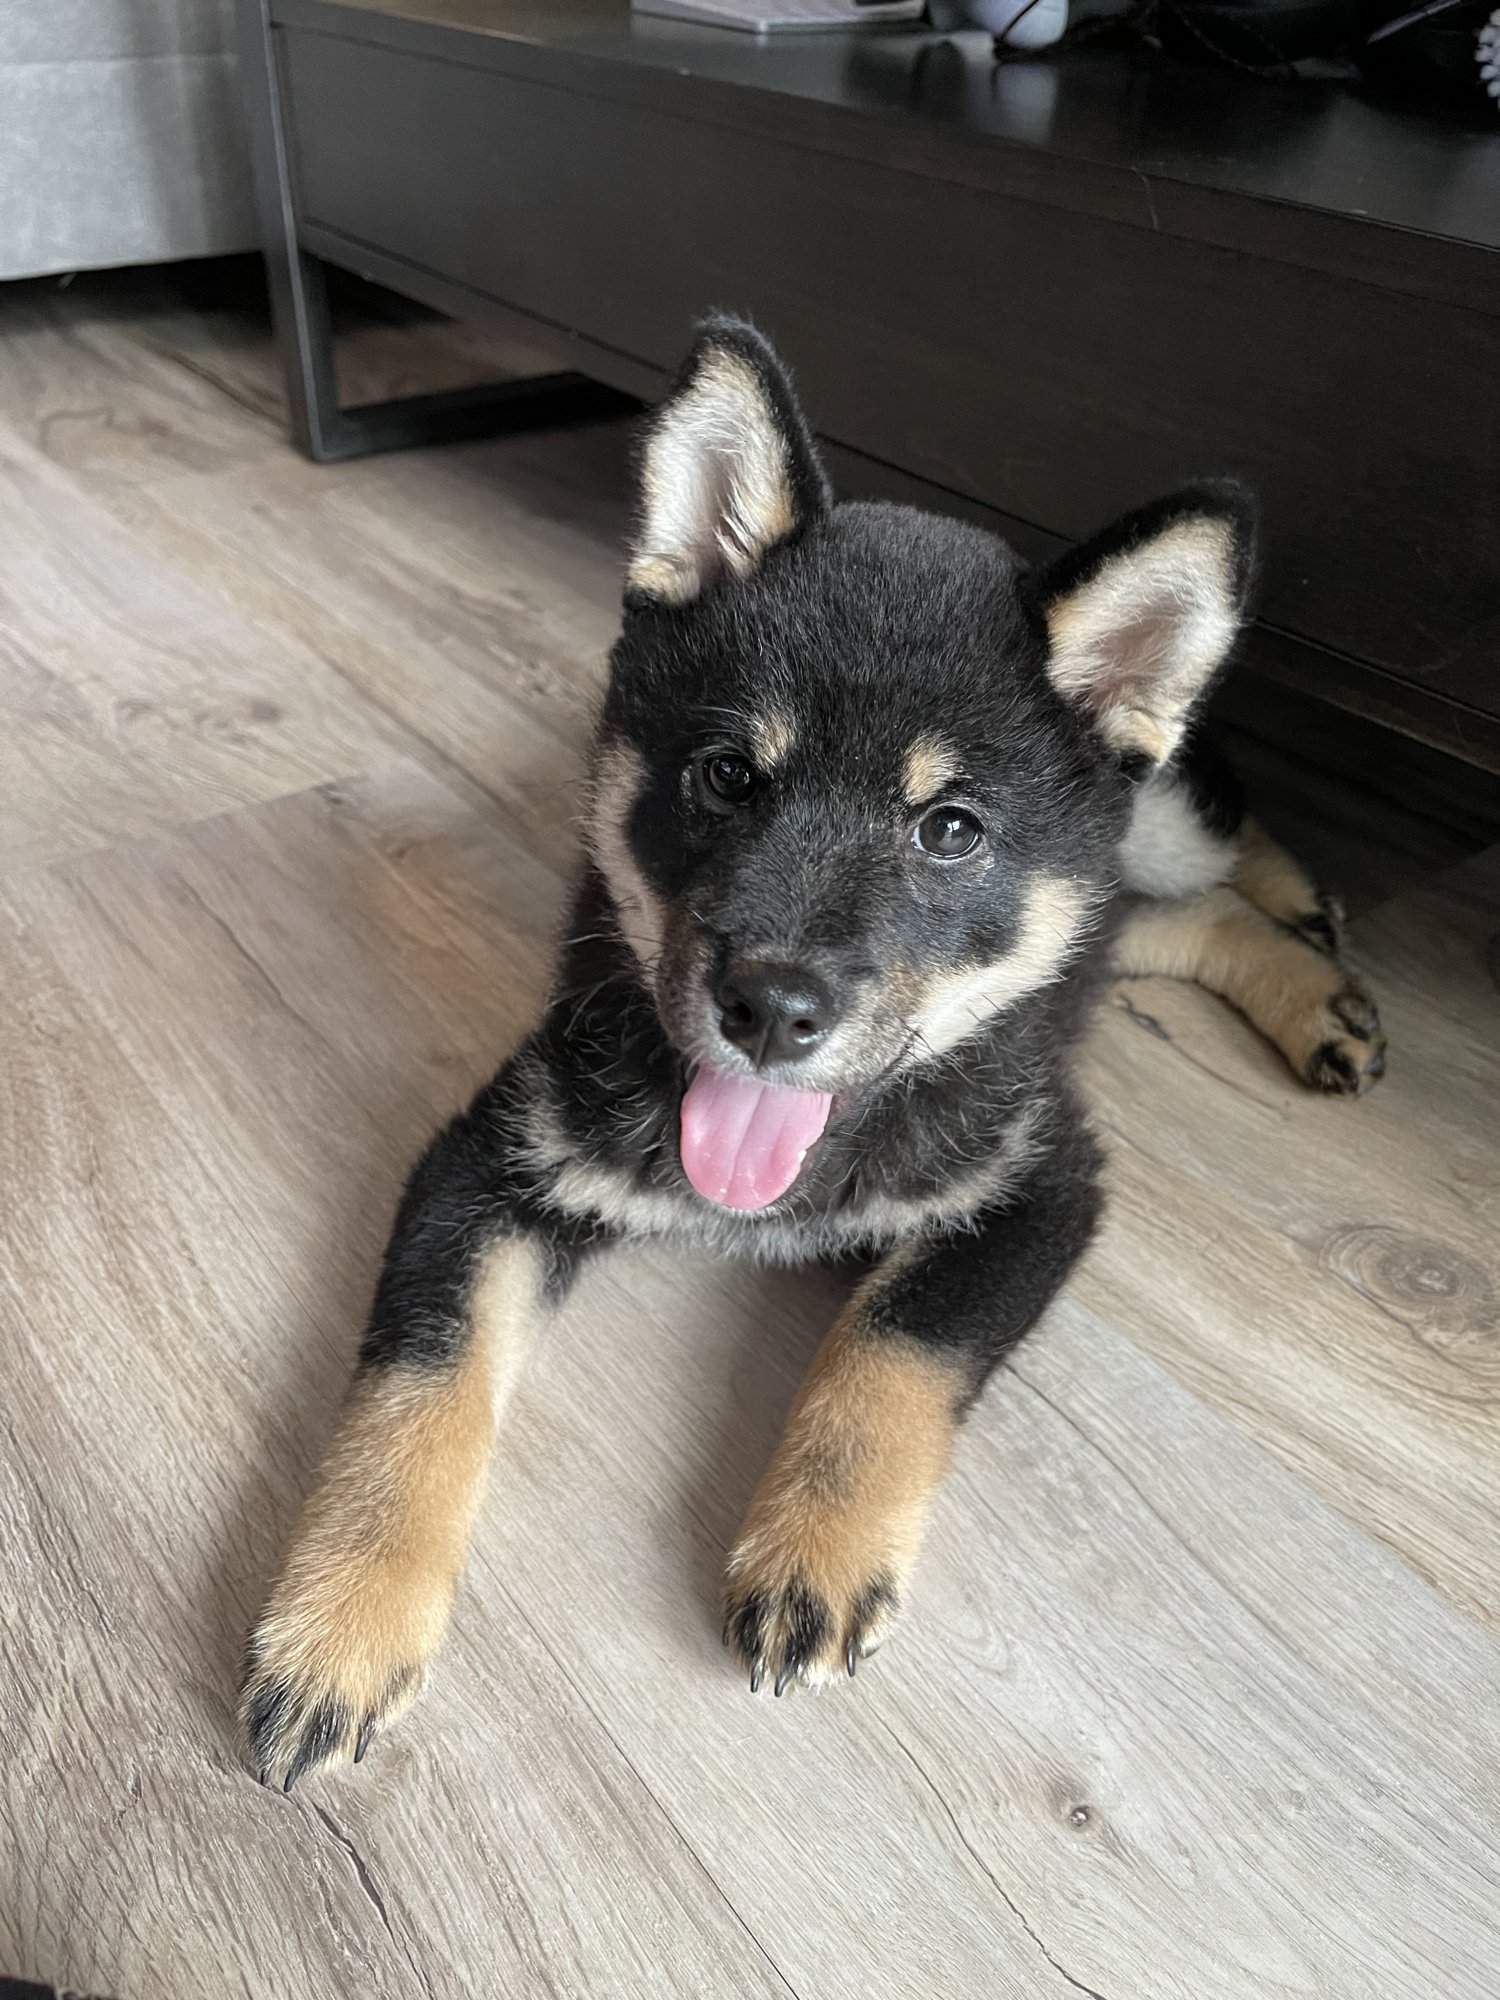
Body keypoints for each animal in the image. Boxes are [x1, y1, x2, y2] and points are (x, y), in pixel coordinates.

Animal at [242, 316, 1385, 1790]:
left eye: (949, 829)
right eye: (728, 775)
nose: (771, 1009)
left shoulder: (1040, 1182)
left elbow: (892, 1351)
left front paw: (816, 1547)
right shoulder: (490, 1161)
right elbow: (416, 1390)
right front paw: (339, 1619)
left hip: (1157, 814)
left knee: (1214, 859)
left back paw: (1318, 935)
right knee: (1166, 921)